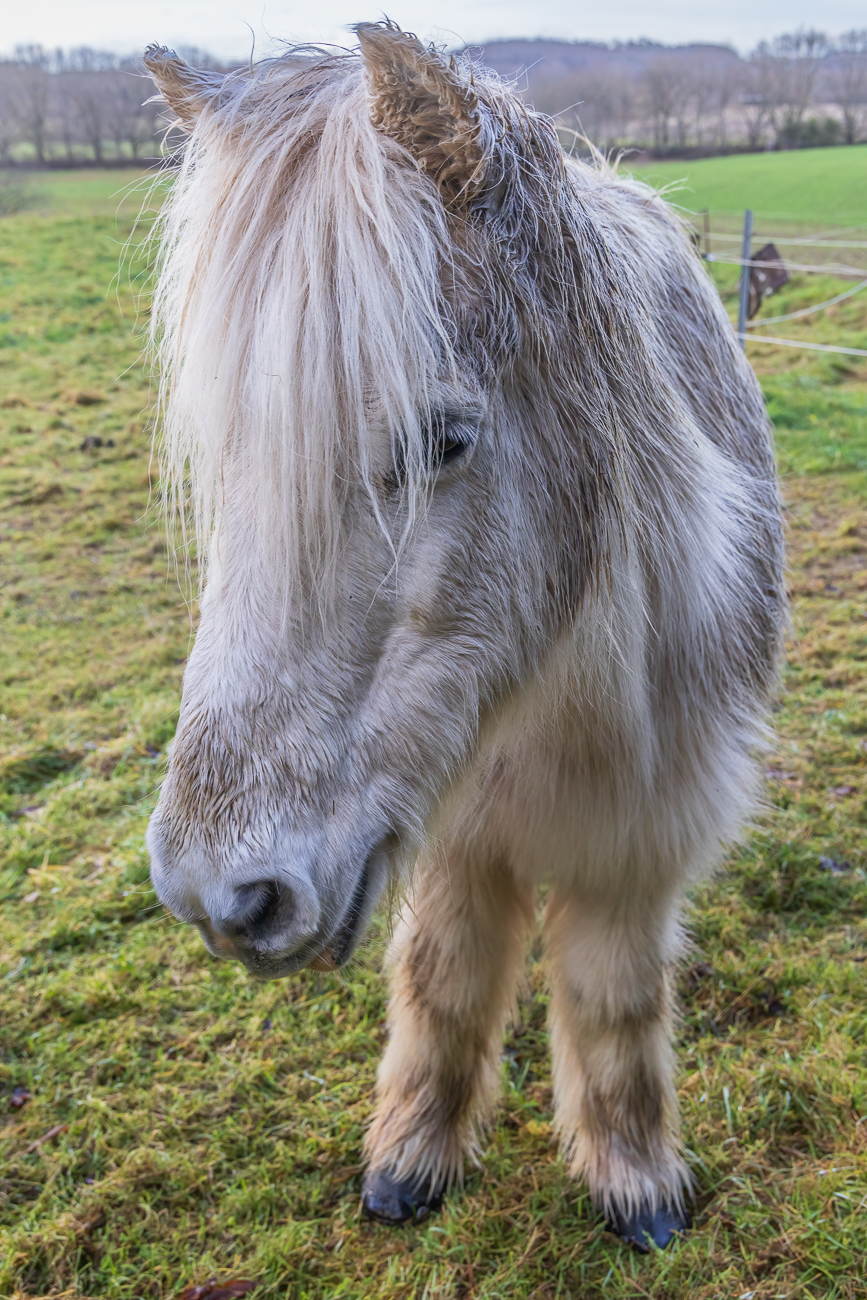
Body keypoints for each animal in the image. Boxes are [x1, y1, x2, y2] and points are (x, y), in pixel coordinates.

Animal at [142, 22, 785, 1251]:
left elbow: (613, 998)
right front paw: (412, 1155)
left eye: (441, 438)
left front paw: (634, 1177)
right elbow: (443, 980)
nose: (221, 896)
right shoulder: (453, 837)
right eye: (232, 454)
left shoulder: (641, 839)